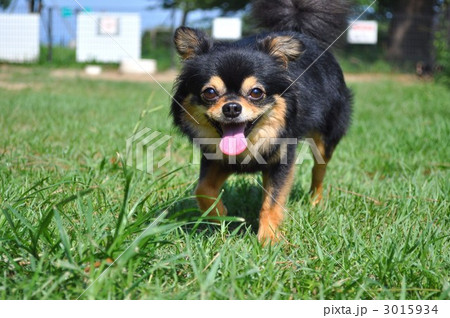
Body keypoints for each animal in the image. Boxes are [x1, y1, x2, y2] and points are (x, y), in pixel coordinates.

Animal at [171, 0, 354, 243]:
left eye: (256, 92)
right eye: (209, 92)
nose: (231, 107)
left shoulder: (282, 160)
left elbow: (272, 202)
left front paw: (268, 240)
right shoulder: (216, 160)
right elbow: (202, 189)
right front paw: (221, 216)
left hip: (325, 139)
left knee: (319, 171)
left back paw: (315, 202)